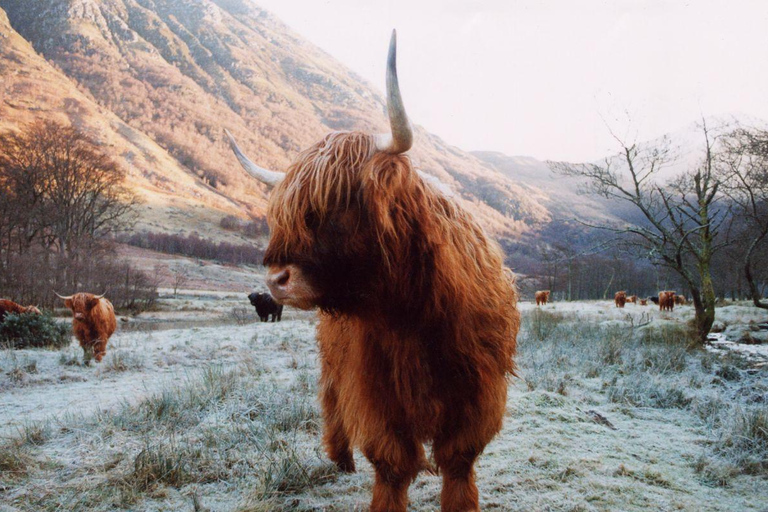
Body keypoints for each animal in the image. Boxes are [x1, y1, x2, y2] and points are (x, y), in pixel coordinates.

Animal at [224, 32, 520, 512]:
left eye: (337, 204)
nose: (276, 279)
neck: (414, 311)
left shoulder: (477, 390)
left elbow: (459, 461)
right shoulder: (374, 388)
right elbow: (392, 463)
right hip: (332, 362)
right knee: (330, 401)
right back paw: (340, 458)